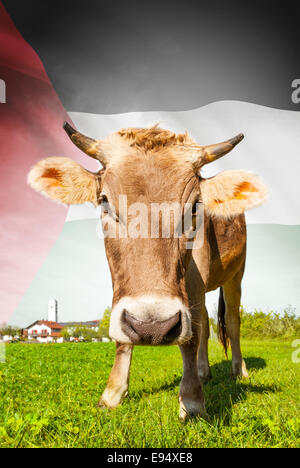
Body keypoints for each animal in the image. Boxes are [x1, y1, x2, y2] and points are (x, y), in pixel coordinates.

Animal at [28, 122, 268, 418]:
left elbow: (191, 335)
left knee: (232, 321)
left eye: (195, 206)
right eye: (104, 201)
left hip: (236, 274)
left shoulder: (196, 275)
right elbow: (125, 334)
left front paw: (192, 400)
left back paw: (239, 370)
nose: (152, 327)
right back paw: (203, 372)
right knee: (206, 323)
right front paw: (112, 393)